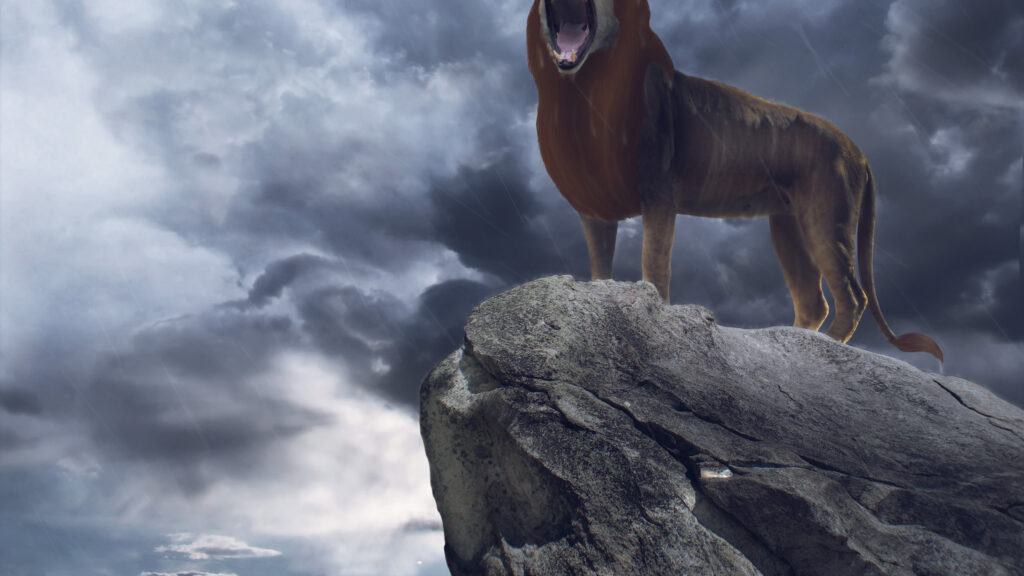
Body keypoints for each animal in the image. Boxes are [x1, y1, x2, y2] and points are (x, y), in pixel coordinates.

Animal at [527, 0, 943, 361]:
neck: (582, 92)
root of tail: (859, 151)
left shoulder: (659, 192)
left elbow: (654, 263)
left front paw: (653, 318)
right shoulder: (594, 209)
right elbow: (600, 268)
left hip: (827, 218)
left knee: (853, 296)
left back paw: (824, 348)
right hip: (788, 227)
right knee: (814, 301)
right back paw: (792, 344)